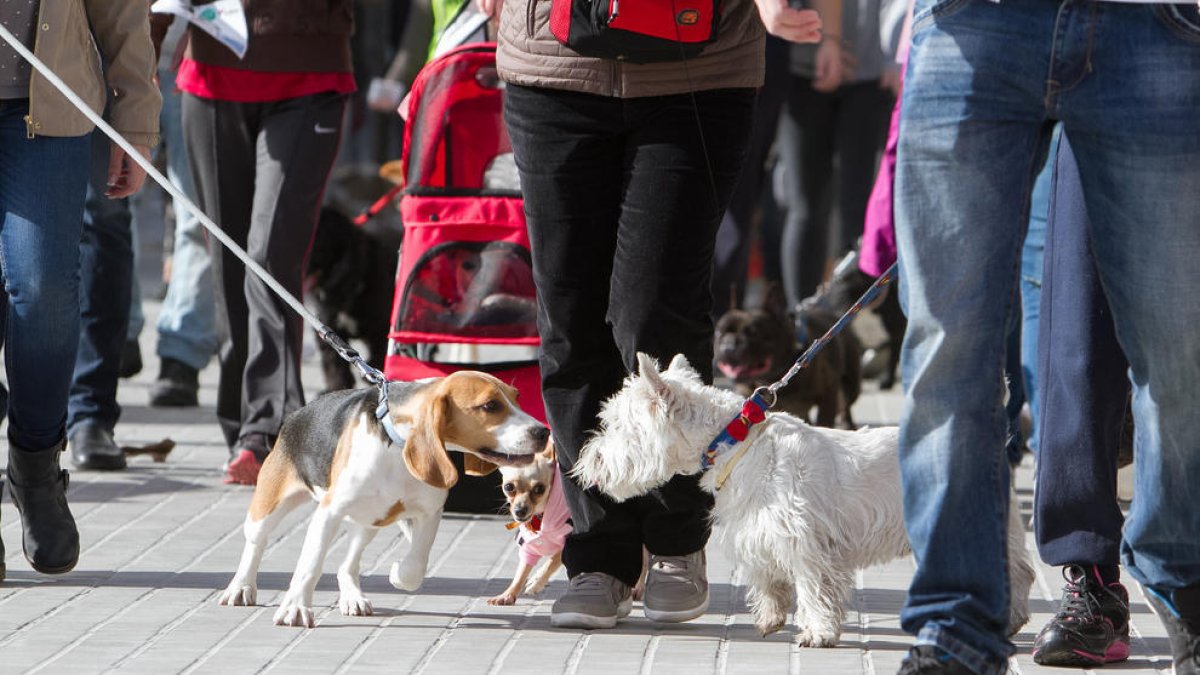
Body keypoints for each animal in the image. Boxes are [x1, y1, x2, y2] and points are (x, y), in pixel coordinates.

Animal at [710, 283, 864, 425]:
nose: (728, 344)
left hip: (850, 386)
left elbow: (824, 420)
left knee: (846, 404)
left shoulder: (828, 394)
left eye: (754, 333)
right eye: (718, 332)